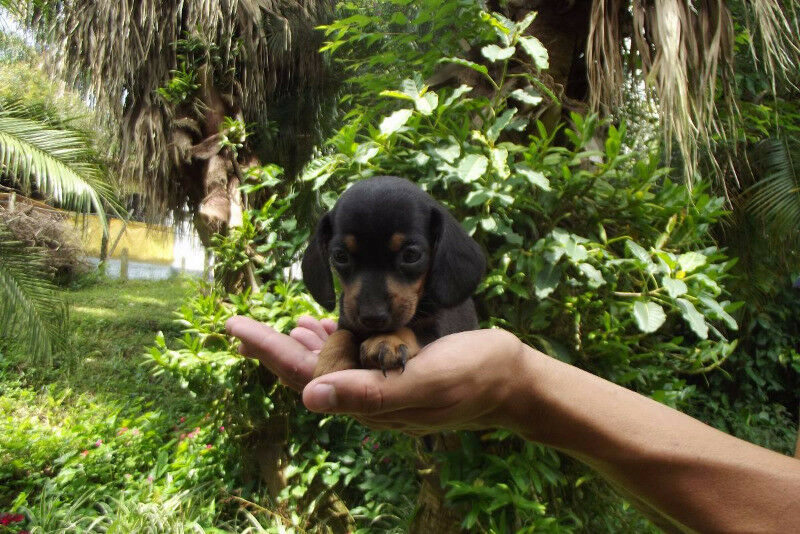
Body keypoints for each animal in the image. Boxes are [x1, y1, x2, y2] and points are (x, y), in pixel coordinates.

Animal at [302, 178, 484, 378]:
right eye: (340, 256)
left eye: (411, 255)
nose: (372, 318)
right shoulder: (347, 321)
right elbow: (340, 335)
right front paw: (330, 365)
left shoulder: (438, 327)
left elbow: (412, 328)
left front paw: (387, 340)